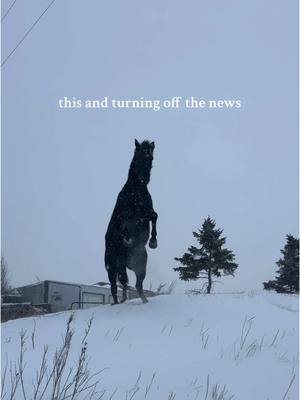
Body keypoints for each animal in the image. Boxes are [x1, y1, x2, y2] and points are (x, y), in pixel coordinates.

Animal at [105, 138, 158, 304]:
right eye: (139, 155)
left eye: (150, 158)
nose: (144, 178)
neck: (136, 191)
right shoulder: (125, 218)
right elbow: (125, 228)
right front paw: (128, 240)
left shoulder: (147, 213)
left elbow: (155, 216)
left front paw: (153, 242)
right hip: (112, 268)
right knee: (115, 287)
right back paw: (116, 303)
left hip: (140, 266)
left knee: (134, 284)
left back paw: (143, 300)